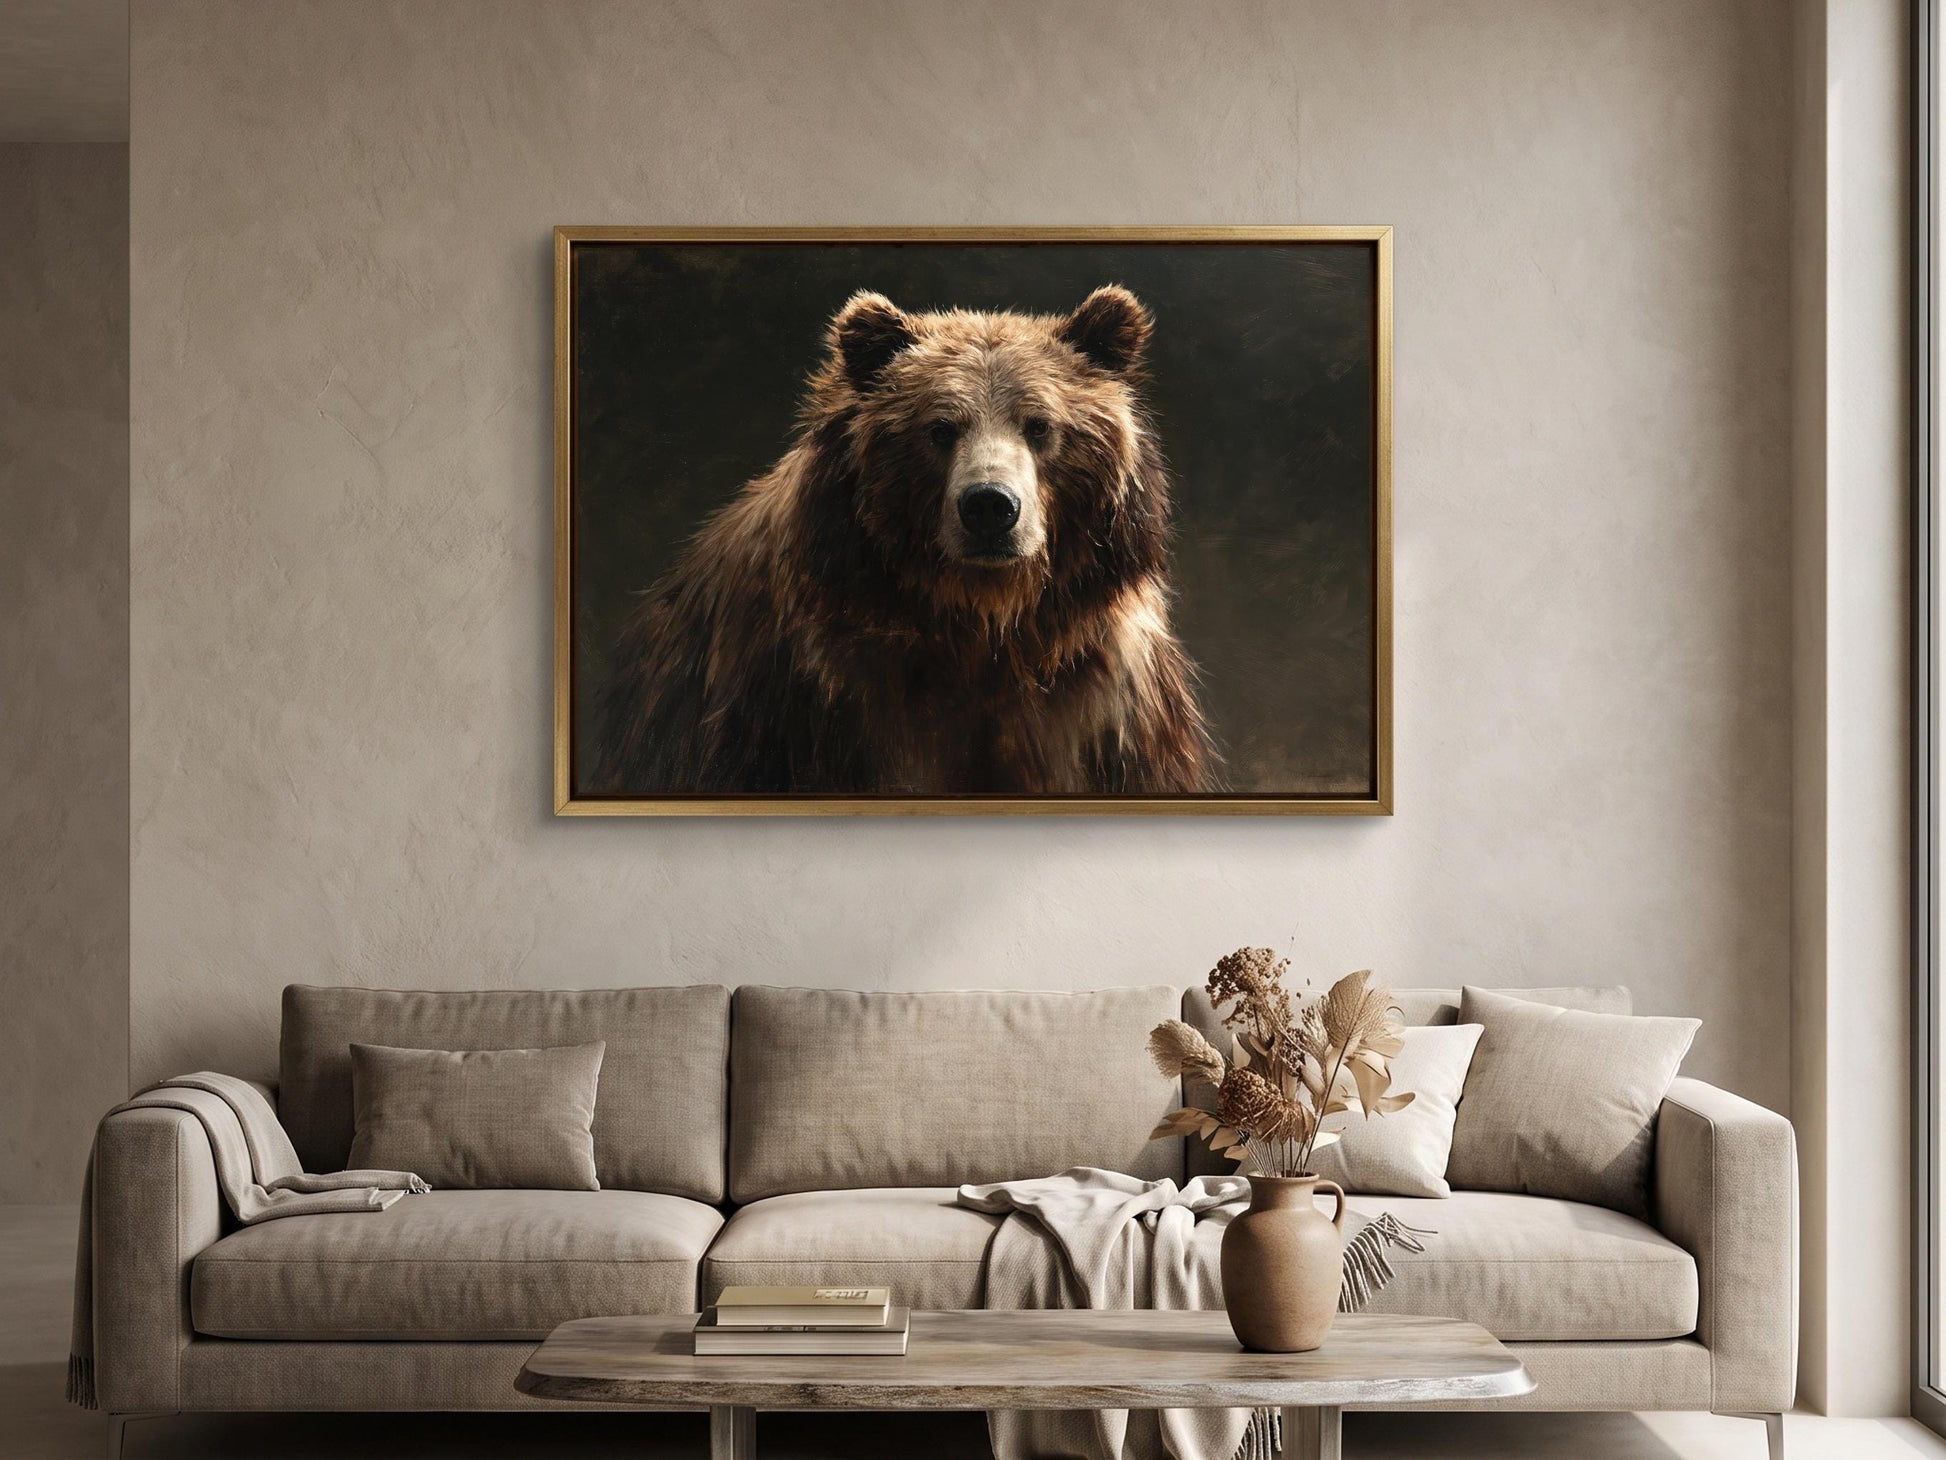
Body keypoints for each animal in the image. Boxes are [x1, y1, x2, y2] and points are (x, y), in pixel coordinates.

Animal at [590, 284, 1216, 797]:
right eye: (939, 428)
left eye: (1039, 424)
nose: (990, 507)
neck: (980, 624)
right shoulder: (814, 703)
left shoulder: (1102, 709)